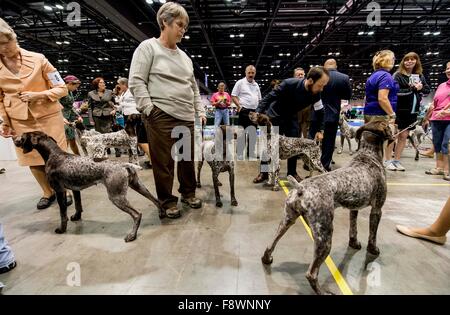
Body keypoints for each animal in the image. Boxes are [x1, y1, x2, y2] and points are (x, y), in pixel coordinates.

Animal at [13, 132, 164, 243]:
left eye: (23, 136)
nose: (14, 139)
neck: (54, 154)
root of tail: (123, 165)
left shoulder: (60, 191)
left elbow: (63, 214)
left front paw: (62, 229)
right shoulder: (75, 189)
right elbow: (78, 206)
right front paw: (76, 217)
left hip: (116, 197)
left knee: (137, 214)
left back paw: (132, 235)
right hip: (138, 186)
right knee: (156, 200)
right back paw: (162, 214)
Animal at [260, 121, 394, 296]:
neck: (368, 155)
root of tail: (301, 189)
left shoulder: (354, 209)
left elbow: (353, 229)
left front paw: (354, 243)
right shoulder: (377, 209)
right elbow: (373, 235)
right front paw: (373, 249)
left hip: (287, 221)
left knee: (270, 245)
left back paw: (267, 259)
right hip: (325, 237)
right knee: (311, 274)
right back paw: (323, 292)